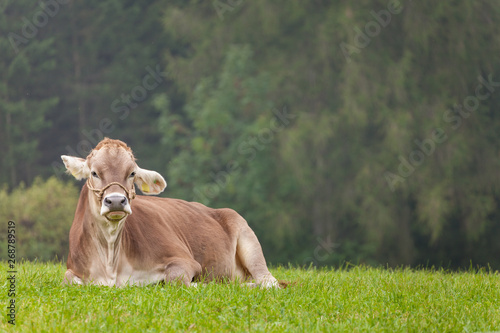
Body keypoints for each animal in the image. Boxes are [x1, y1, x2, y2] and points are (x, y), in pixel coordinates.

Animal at [61, 136, 280, 286]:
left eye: (132, 173)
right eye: (94, 173)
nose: (115, 201)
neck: (111, 263)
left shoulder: (185, 260)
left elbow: (175, 279)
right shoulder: (73, 269)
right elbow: (68, 279)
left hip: (248, 238)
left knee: (268, 281)